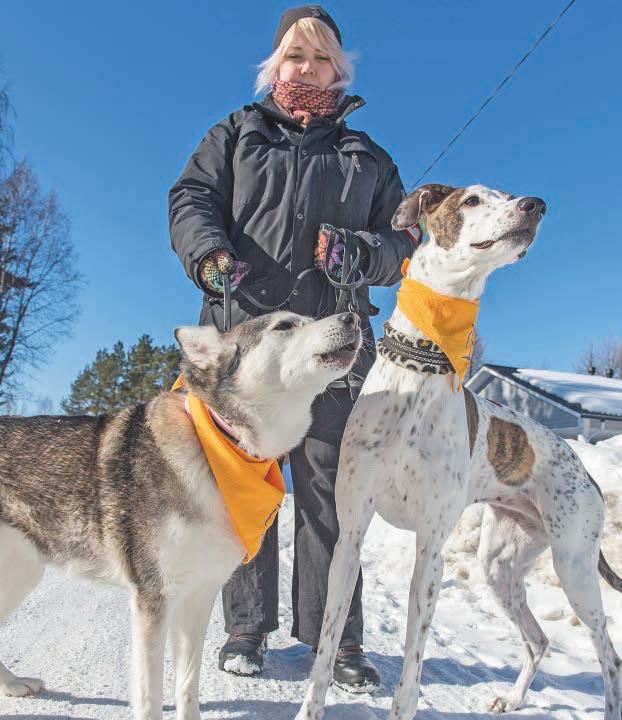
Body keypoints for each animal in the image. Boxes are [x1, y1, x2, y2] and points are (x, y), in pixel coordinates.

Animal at [0, 312, 360, 720]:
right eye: (284, 325)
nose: (352, 316)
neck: (223, 443)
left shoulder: (198, 595)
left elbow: (187, 684)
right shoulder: (153, 600)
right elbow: (151, 696)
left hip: (22, 572)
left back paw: (14, 685)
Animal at [298, 186, 622, 720]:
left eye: (508, 193)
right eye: (471, 199)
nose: (535, 204)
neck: (419, 368)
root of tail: (585, 471)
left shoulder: (431, 550)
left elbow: (412, 669)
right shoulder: (350, 538)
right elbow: (324, 649)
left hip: (573, 565)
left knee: (608, 654)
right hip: (502, 566)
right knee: (538, 640)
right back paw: (513, 699)